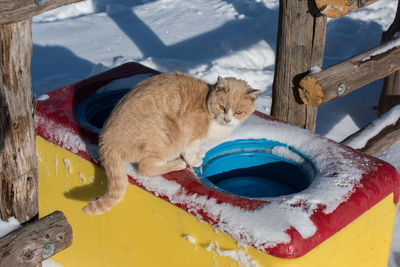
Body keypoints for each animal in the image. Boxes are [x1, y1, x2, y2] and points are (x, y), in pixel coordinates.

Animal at [83, 73, 260, 216]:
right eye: (222, 107)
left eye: (238, 112)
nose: (227, 120)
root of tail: (105, 138)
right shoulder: (191, 135)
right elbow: (189, 151)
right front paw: (194, 160)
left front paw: (200, 154)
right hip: (164, 137)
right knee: (145, 168)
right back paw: (177, 163)